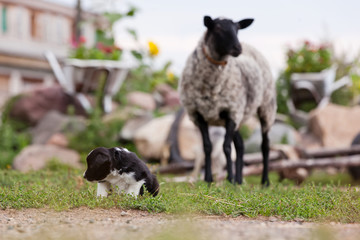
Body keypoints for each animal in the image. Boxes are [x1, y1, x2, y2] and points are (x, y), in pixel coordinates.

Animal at [179, 15, 278, 186]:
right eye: (217, 28)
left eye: (237, 29)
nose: (238, 48)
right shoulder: (198, 115)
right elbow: (208, 147)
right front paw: (209, 179)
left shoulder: (231, 112)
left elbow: (226, 147)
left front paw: (229, 178)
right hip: (239, 115)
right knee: (240, 145)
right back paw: (239, 181)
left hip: (266, 107)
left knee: (265, 145)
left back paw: (264, 181)